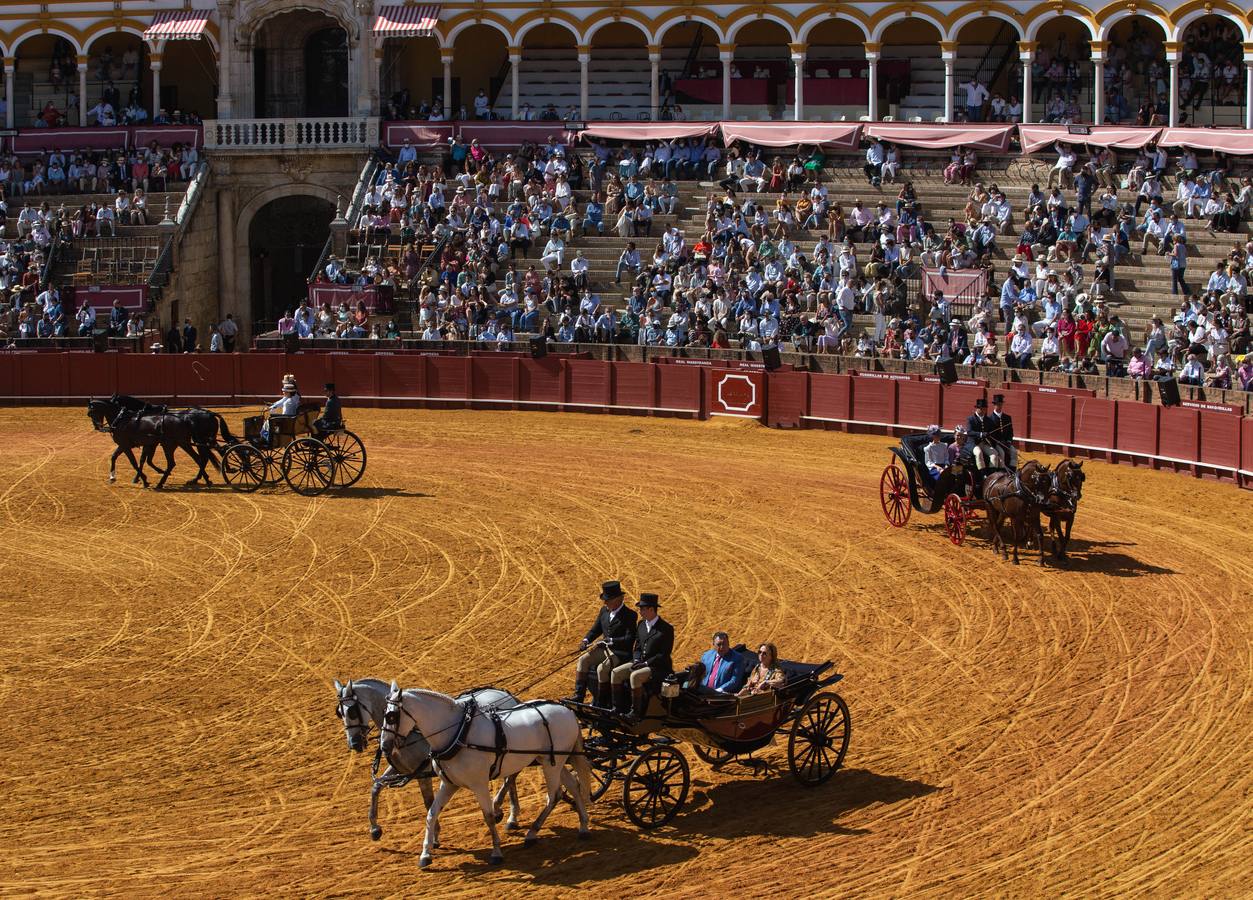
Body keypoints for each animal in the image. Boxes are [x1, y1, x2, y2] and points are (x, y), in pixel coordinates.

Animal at [333, 681, 523, 842]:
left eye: (352, 711)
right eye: (339, 713)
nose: (354, 744)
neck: (410, 732)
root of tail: (506, 695)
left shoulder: (421, 773)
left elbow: (428, 802)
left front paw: (435, 836)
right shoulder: (402, 769)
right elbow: (376, 787)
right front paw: (374, 828)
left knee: (511, 777)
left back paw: (499, 809)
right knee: (511, 777)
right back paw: (512, 817)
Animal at [380, 686, 591, 872]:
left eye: (392, 716)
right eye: (384, 713)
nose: (384, 746)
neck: (458, 733)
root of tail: (567, 711)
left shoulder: (479, 784)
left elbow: (488, 816)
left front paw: (496, 852)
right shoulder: (449, 784)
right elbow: (432, 813)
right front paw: (425, 854)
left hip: (551, 763)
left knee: (553, 796)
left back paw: (532, 833)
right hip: (553, 760)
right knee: (573, 784)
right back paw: (583, 826)